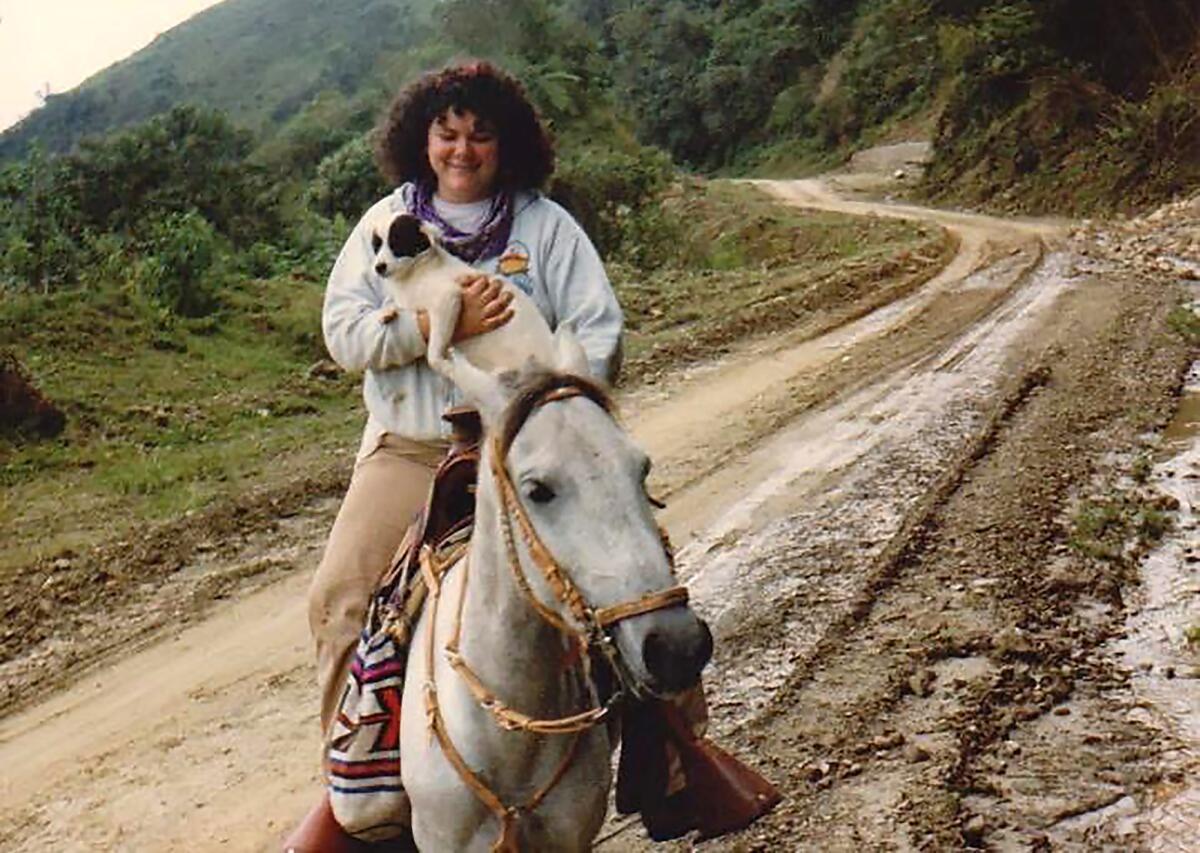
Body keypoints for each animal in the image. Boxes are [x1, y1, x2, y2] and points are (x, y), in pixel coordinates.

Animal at [367, 212, 578, 386]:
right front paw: (386, 311)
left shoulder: (447, 300)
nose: (378, 267)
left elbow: (432, 354)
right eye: (377, 246)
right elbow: (394, 302)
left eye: (397, 243)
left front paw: (446, 368)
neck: (414, 273)